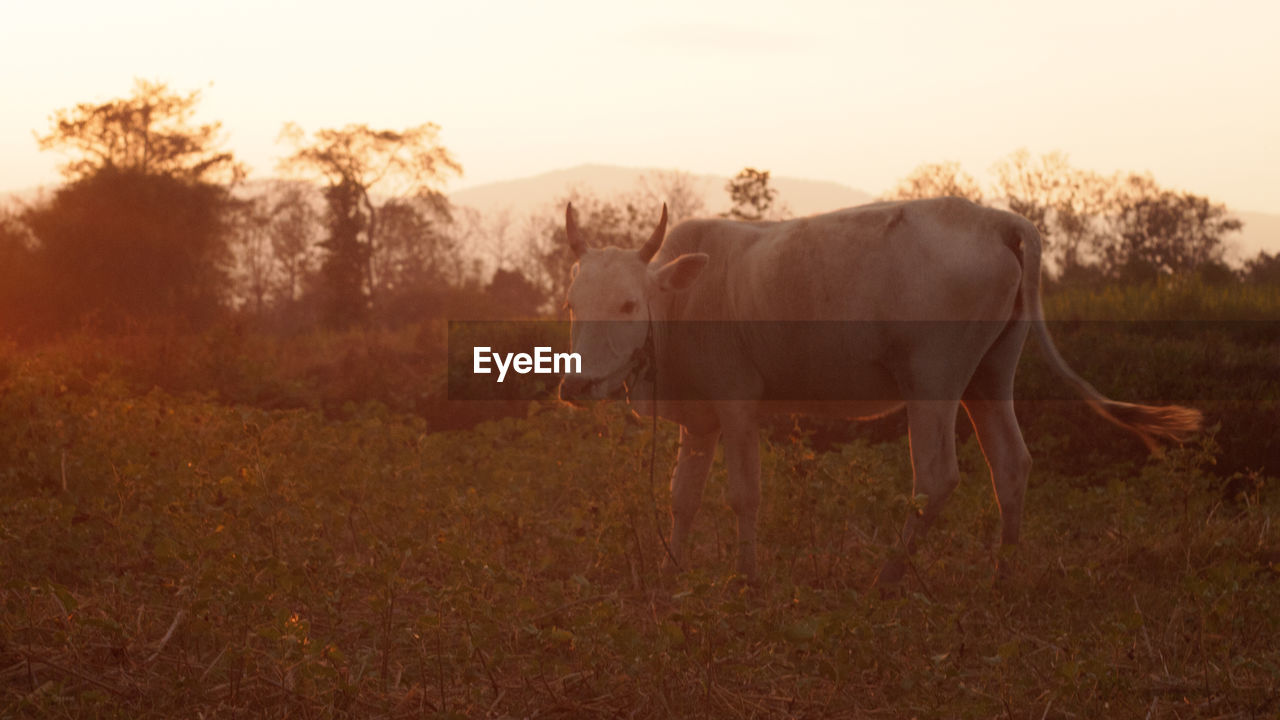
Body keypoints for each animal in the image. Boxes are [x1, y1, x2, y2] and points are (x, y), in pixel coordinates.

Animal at [560, 197, 1198, 584]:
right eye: (572, 304)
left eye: (627, 304)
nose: (578, 382)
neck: (680, 301)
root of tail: (994, 219)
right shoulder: (700, 421)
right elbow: (682, 498)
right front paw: (669, 581)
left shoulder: (738, 406)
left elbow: (743, 495)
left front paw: (746, 580)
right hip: (990, 377)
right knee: (1011, 464)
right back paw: (1002, 572)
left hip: (932, 381)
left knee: (936, 478)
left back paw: (886, 577)